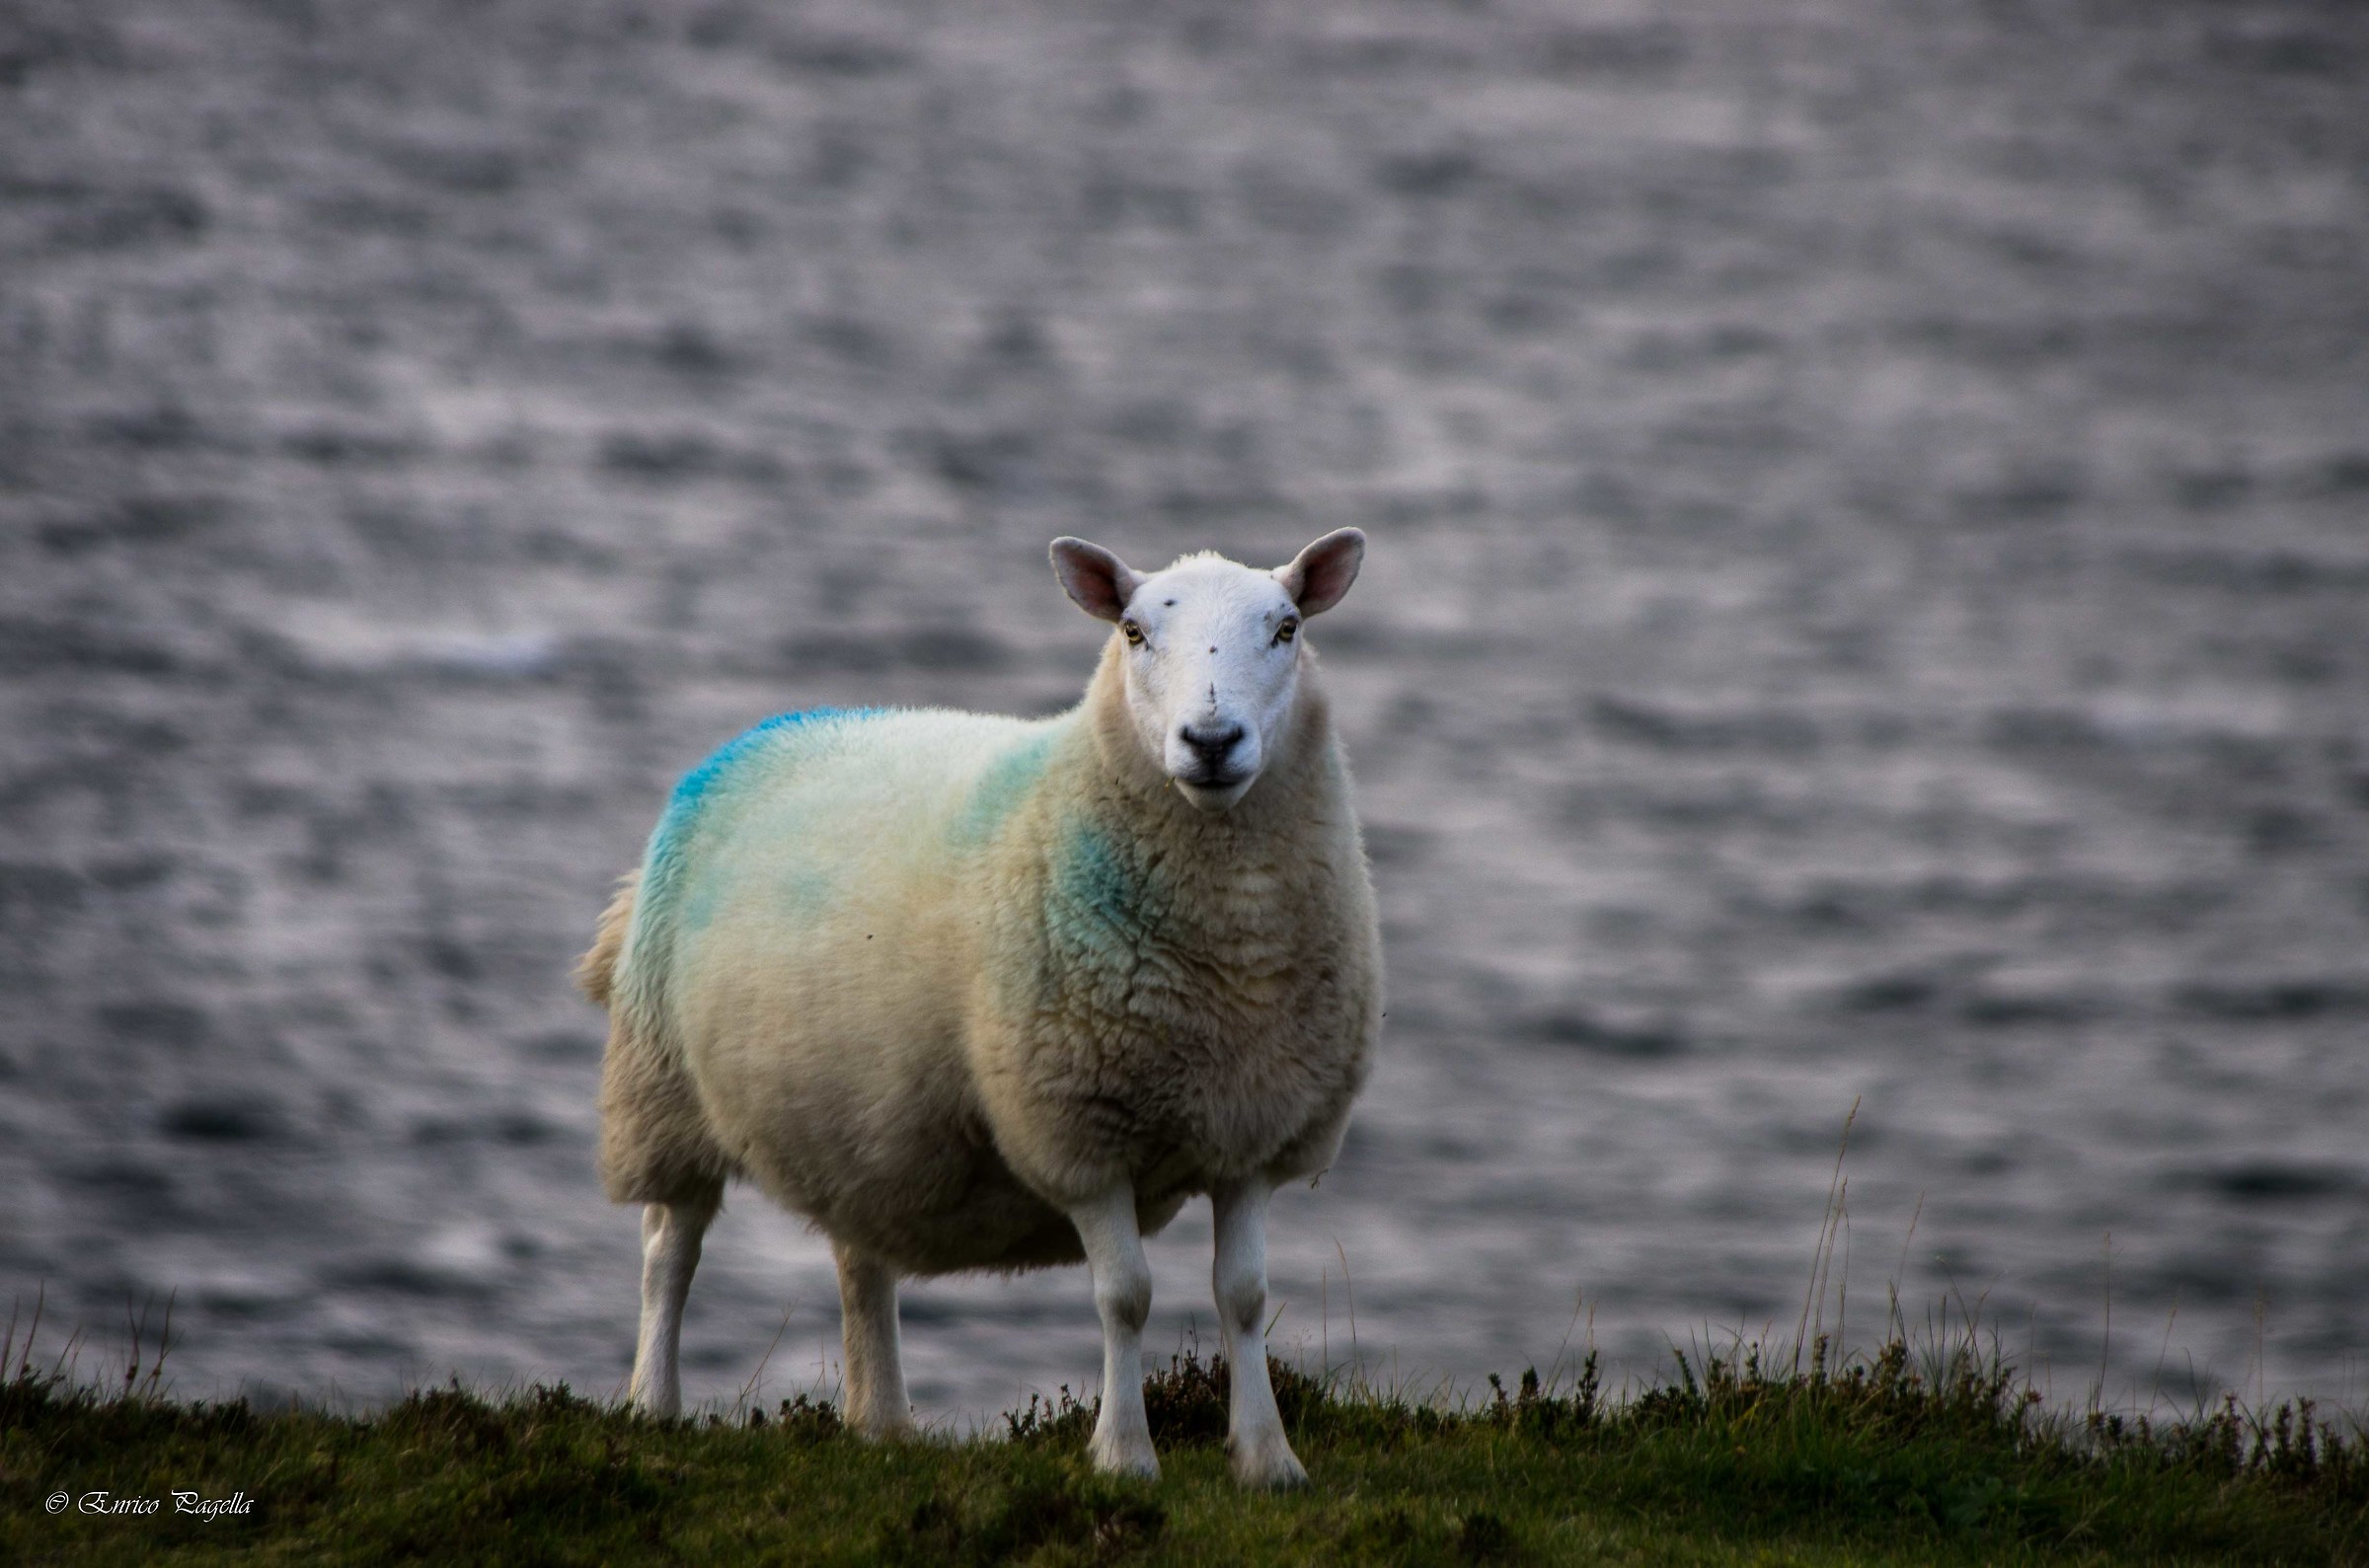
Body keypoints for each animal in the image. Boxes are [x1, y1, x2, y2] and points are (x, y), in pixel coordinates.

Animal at [576, 529, 1382, 1486]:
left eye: (1287, 626)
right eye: (1134, 632)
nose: (1212, 739)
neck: (1227, 963)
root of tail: (763, 732)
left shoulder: (1256, 1124)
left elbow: (1245, 1296)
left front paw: (1266, 1458)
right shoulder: (1077, 1127)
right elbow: (1127, 1295)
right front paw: (1124, 1454)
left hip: (854, 1124)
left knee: (860, 1263)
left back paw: (881, 1423)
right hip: (662, 1088)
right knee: (669, 1251)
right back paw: (653, 1405)